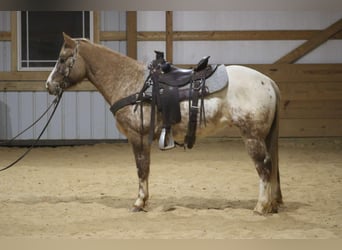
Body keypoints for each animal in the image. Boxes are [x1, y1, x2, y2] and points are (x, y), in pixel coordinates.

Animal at [45, 32, 282, 214]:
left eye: (62, 59)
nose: (49, 85)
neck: (130, 82)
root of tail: (268, 81)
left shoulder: (137, 136)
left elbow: (141, 169)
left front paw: (139, 203)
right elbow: (146, 169)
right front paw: (143, 201)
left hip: (252, 137)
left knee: (264, 167)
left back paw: (261, 207)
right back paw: (272, 204)